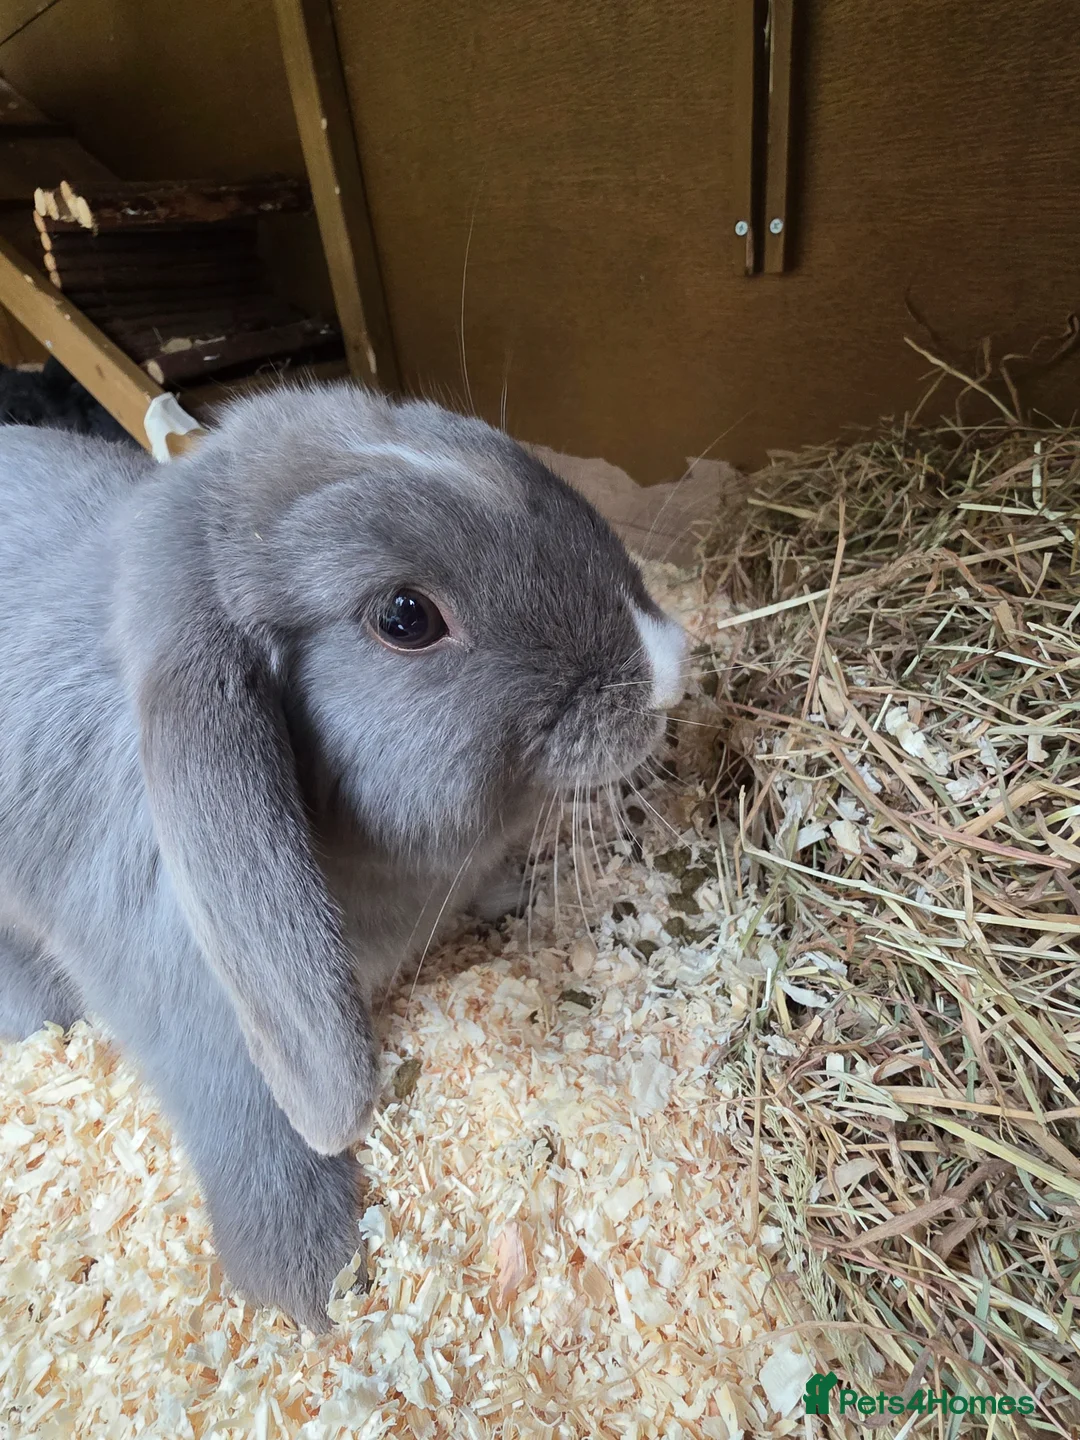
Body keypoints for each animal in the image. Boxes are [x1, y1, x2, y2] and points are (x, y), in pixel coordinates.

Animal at [0, 381, 688, 1330]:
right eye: (406, 616)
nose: (669, 669)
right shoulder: (199, 1016)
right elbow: (257, 1130)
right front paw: (315, 1284)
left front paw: (504, 894)